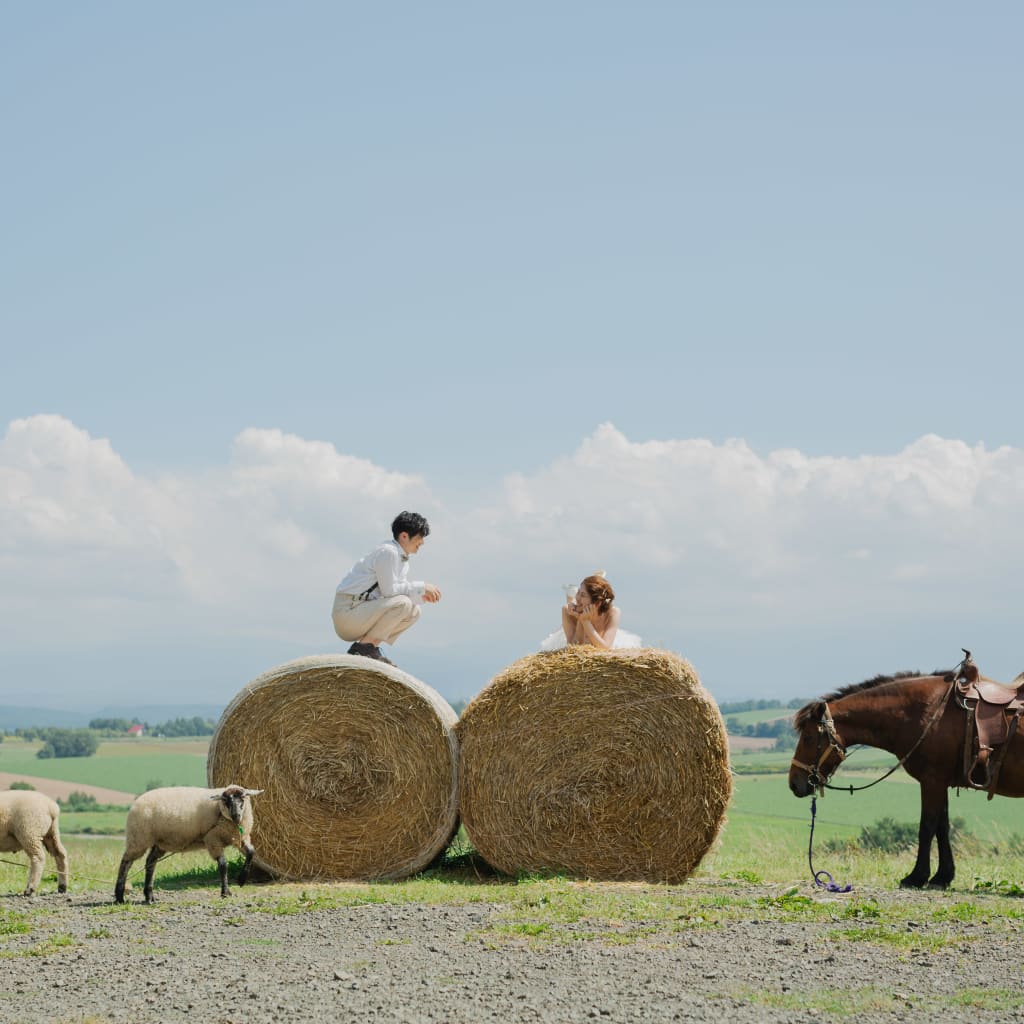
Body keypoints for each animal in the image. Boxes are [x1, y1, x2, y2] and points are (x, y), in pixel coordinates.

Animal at [114, 782, 262, 905]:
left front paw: (241, 879)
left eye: (242, 799)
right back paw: (120, 896)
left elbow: (251, 852)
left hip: (159, 843)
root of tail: (136, 802)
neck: (219, 811)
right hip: (139, 838)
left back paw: (149, 896)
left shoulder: (240, 838)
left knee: (150, 863)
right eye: (226, 801)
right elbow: (223, 866)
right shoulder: (213, 840)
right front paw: (225, 892)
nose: (236, 816)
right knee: (126, 863)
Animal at [790, 663, 1024, 888]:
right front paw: (942, 876)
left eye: (809, 737)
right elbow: (942, 828)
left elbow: (927, 827)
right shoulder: (940, 783)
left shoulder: (932, 781)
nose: (794, 783)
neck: (931, 712)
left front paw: (917, 877)